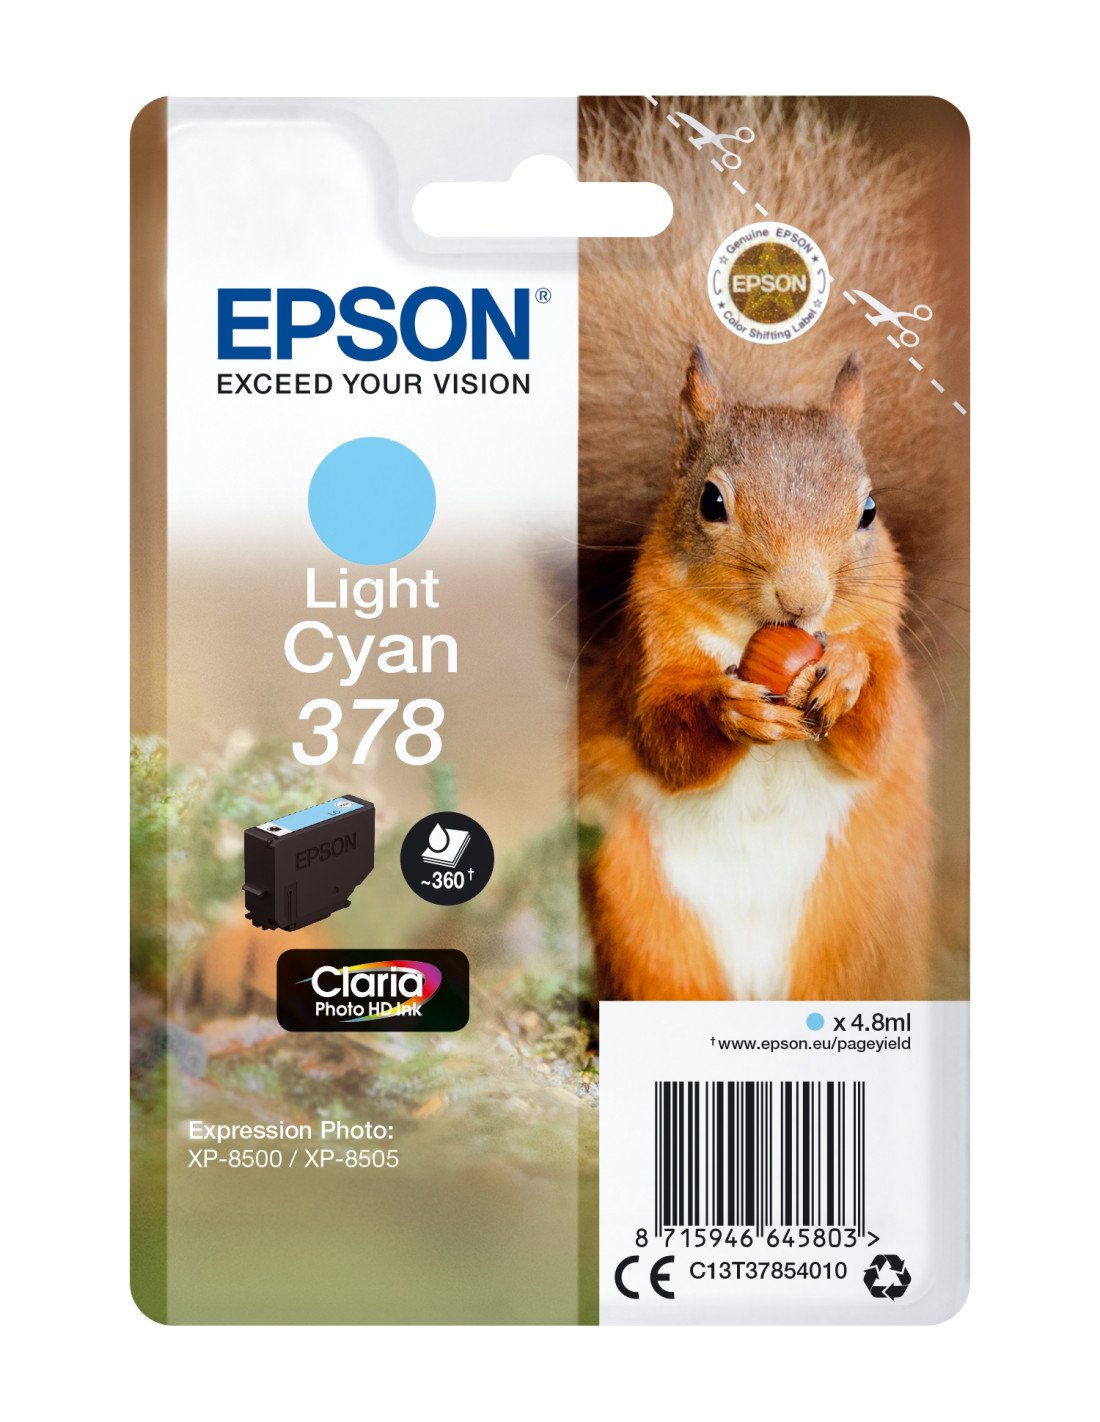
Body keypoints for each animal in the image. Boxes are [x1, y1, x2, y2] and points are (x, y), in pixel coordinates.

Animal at [575, 97, 968, 1001]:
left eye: (869, 510)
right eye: (711, 502)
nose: (802, 600)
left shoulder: (887, 642)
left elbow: (877, 729)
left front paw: (848, 676)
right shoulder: (646, 650)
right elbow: (665, 734)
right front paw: (732, 709)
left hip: (860, 927)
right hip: (645, 923)